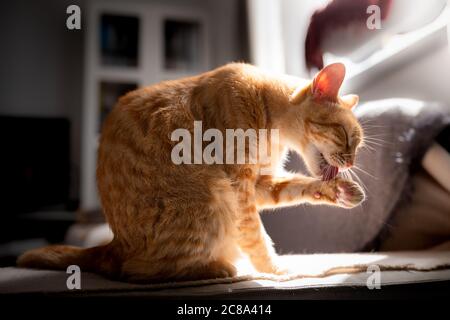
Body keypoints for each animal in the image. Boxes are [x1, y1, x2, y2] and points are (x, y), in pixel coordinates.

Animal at [18, 62, 366, 282]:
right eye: (346, 136)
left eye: (358, 144)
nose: (350, 163)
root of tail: (114, 246)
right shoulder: (239, 187)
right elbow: (256, 236)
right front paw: (277, 271)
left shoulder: (259, 184)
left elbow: (296, 186)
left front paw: (340, 190)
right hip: (212, 193)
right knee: (139, 271)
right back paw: (220, 268)